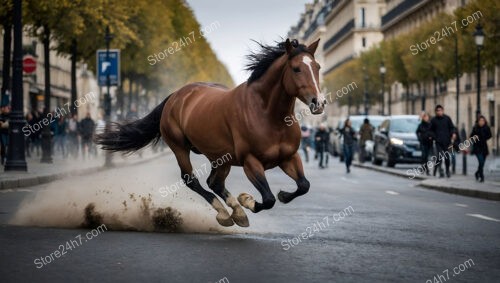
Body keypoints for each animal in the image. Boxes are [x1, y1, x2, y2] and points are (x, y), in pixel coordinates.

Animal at [95, 38, 326, 229]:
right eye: (296, 68)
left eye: (317, 67)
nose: (319, 102)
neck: (269, 115)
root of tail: (176, 95)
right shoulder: (251, 161)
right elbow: (268, 198)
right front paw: (247, 200)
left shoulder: (288, 157)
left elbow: (304, 185)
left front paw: (283, 195)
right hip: (180, 147)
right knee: (191, 180)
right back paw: (225, 214)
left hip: (221, 157)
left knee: (215, 182)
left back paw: (237, 214)